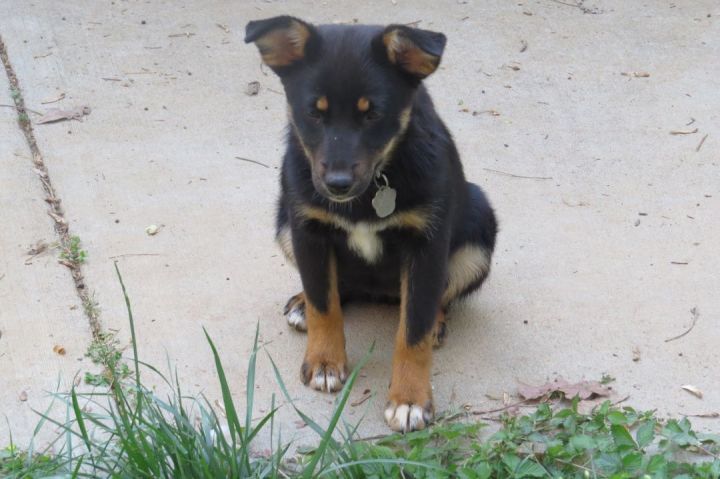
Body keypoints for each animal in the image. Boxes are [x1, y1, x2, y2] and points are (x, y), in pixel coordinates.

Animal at [245, 15, 498, 436]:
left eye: (372, 113)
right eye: (314, 112)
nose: (338, 185)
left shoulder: (426, 243)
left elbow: (413, 330)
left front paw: (409, 400)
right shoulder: (306, 228)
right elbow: (323, 303)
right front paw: (325, 362)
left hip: (480, 229)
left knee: (435, 297)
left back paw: (436, 321)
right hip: (284, 221)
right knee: (334, 287)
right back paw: (301, 304)